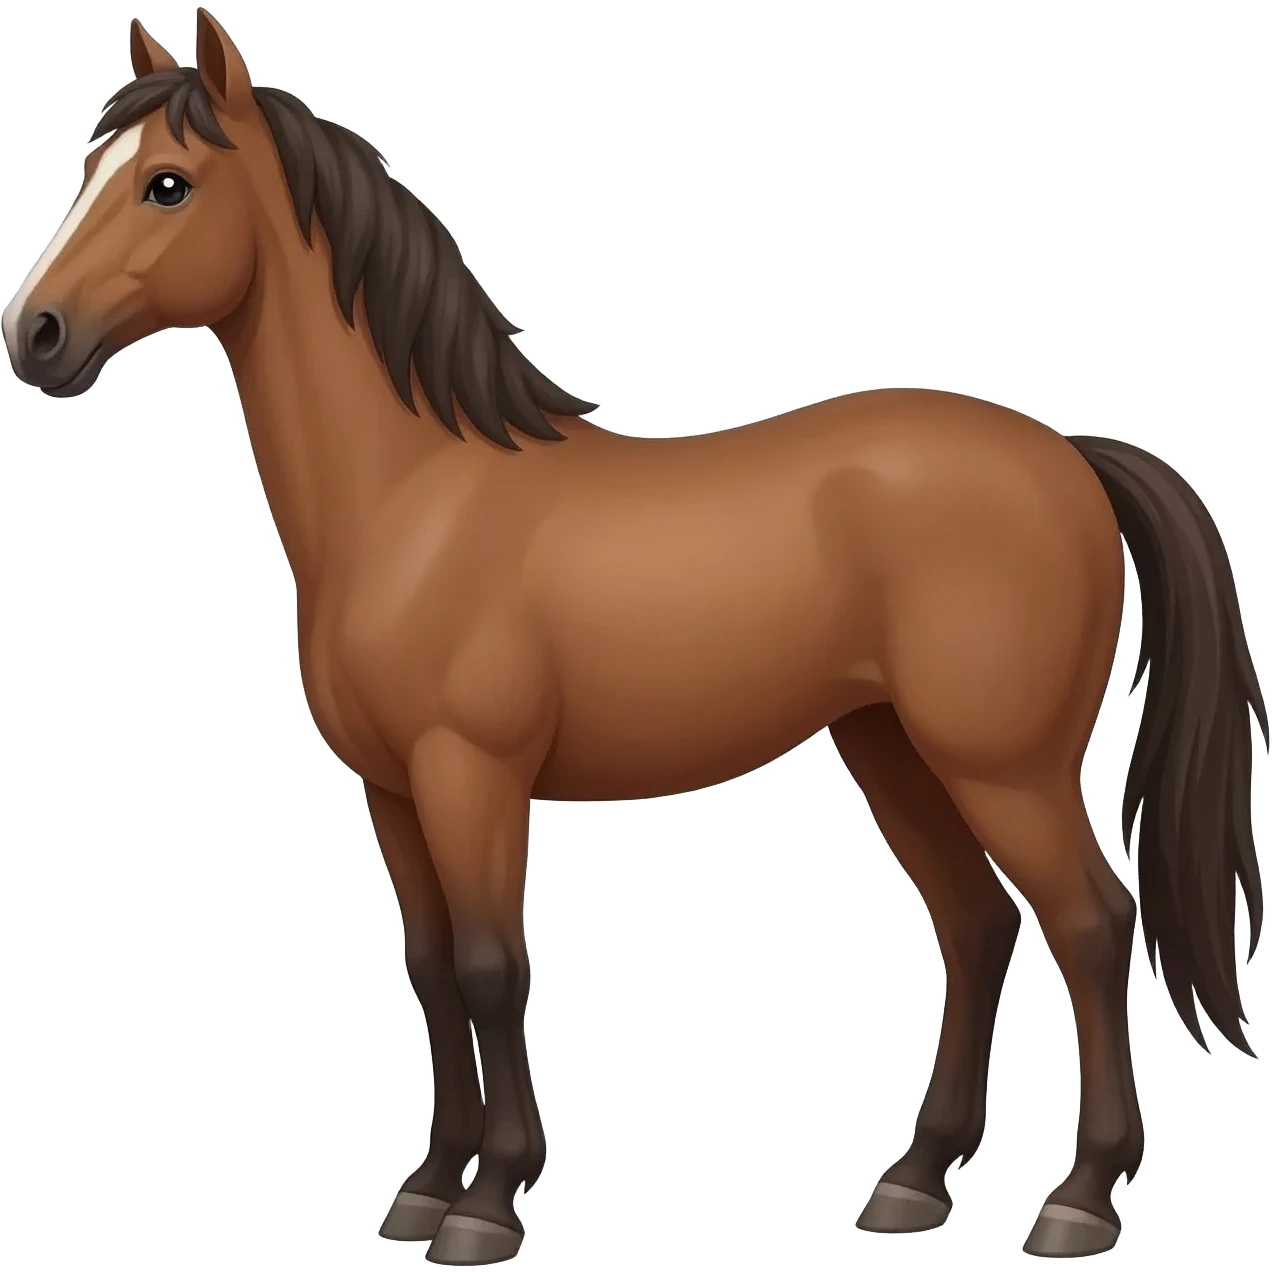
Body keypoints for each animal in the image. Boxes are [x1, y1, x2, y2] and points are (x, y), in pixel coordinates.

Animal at [3, 10, 1264, 1265]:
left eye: (167, 183)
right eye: (89, 168)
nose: (35, 334)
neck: (417, 496)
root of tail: (1068, 455)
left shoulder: (472, 776)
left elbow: (490, 968)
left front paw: (488, 1204)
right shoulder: (393, 791)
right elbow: (429, 972)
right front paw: (428, 1185)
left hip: (1003, 766)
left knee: (1091, 924)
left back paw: (1081, 1198)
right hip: (890, 748)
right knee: (977, 925)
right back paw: (913, 1181)